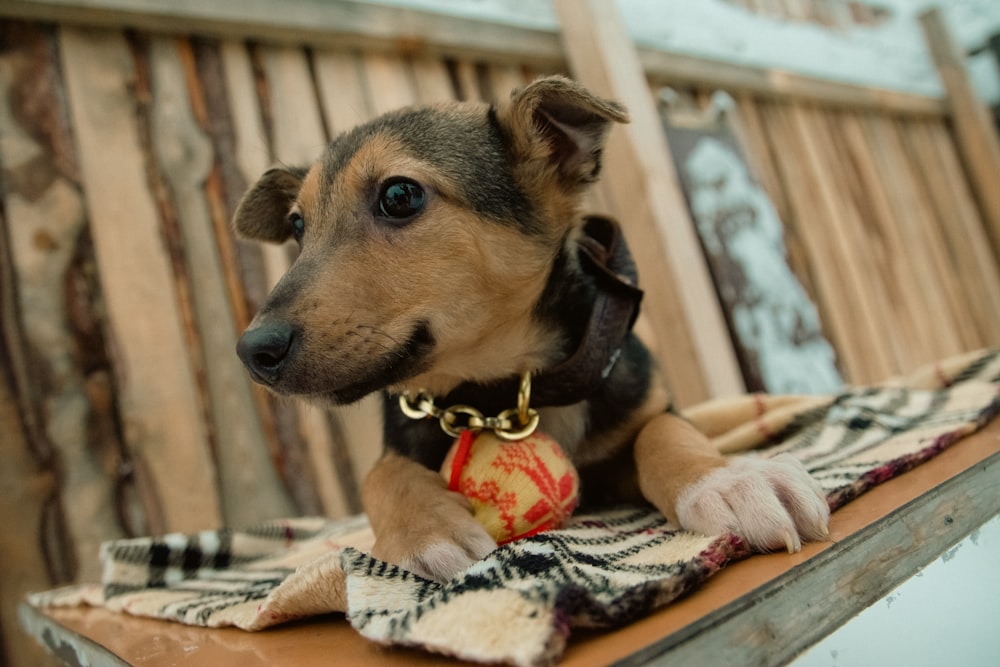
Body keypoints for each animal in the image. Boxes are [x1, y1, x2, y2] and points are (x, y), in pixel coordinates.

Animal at [234, 75, 828, 580]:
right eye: (297, 225)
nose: (252, 351)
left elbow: (665, 429)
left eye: (399, 195)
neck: (504, 389)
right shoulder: (402, 434)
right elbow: (379, 475)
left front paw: (731, 479)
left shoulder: (635, 409)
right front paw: (426, 532)